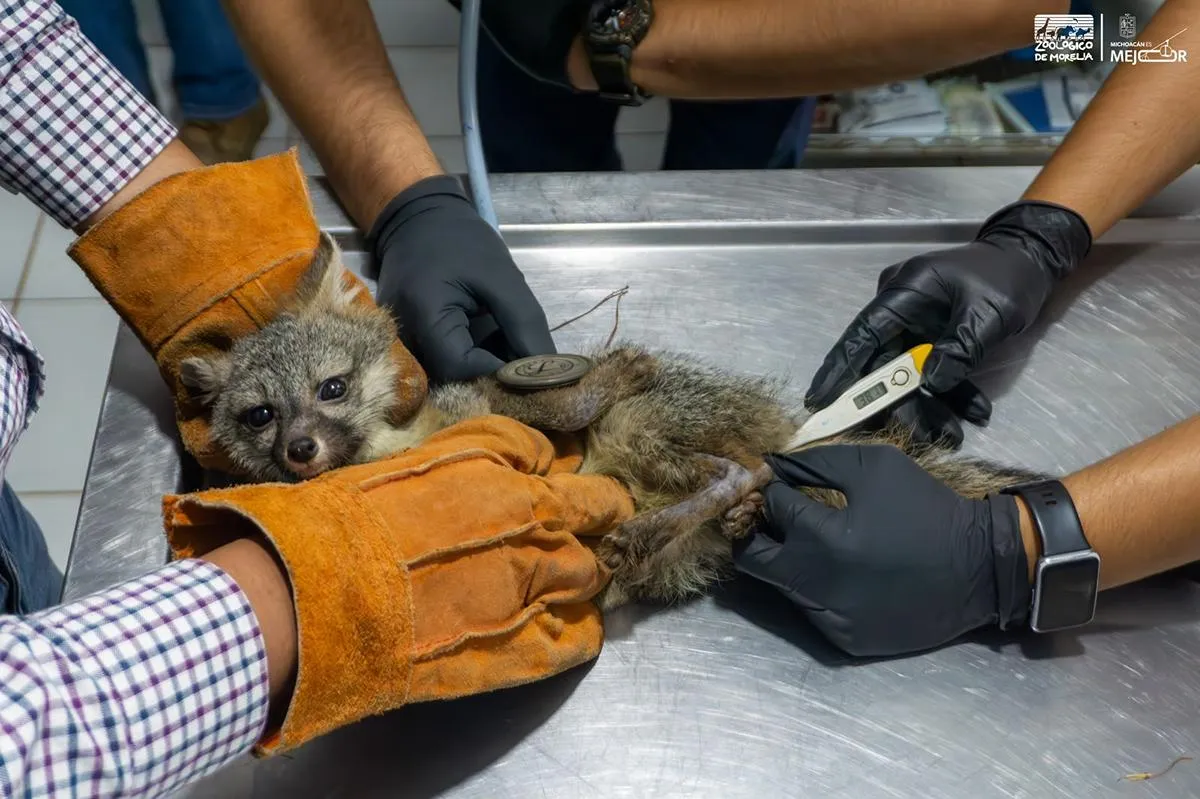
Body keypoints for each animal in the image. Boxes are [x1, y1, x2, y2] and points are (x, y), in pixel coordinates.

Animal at [179, 233, 1045, 610]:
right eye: (259, 415)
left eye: (331, 387)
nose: (299, 448)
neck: (402, 440)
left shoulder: (497, 405)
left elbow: (560, 401)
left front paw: (606, 372)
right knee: (742, 478)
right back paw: (680, 526)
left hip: (649, 430)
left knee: (741, 466)